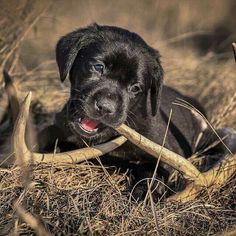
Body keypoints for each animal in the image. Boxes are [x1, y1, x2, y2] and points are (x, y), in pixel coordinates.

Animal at [52, 23, 236, 197]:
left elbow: (154, 171)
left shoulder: (166, 150)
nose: (105, 107)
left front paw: (145, 193)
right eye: (98, 67)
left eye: (135, 88)